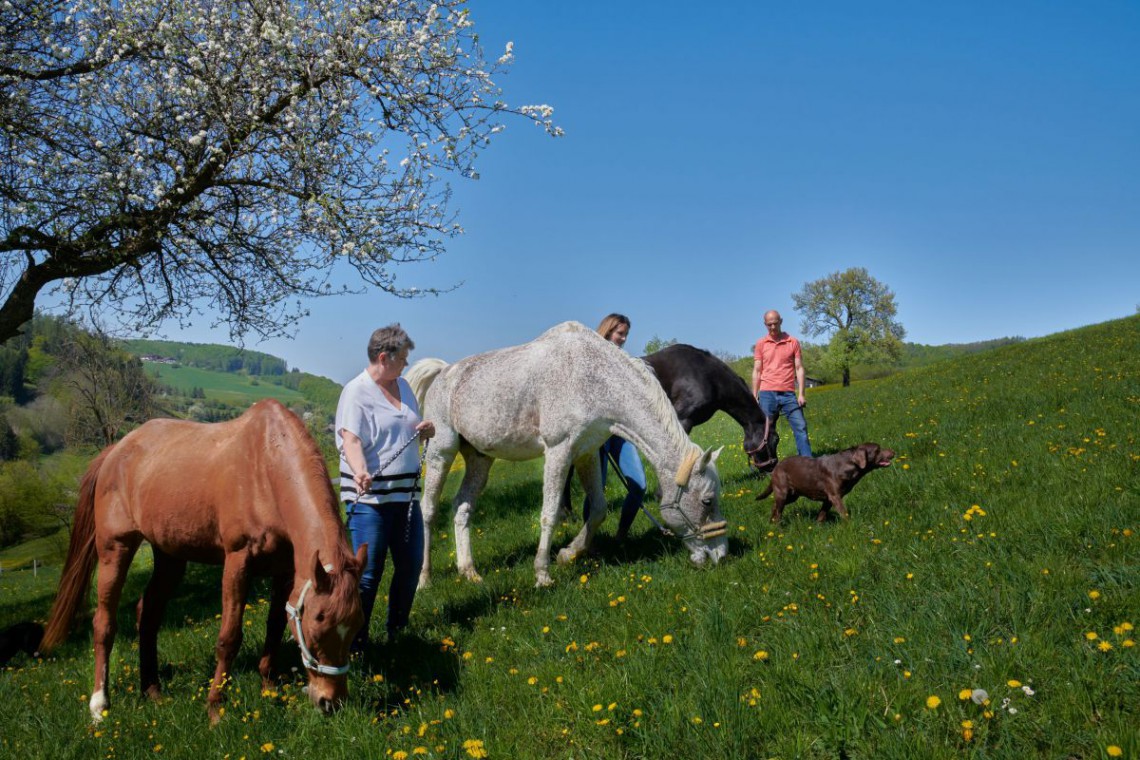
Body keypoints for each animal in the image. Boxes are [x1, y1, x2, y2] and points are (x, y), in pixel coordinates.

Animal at [40, 401, 364, 724]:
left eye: (354, 627)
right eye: (315, 629)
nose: (330, 702)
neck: (265, 467)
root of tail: (115, 451)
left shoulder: (286, 572)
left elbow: (274, 626)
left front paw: (268, 687)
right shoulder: (237, 562)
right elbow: (229, 637)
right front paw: (215, 707)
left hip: (170, 555)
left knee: (148, 613)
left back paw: (152, 689)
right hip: (114, 547)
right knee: (104, 623)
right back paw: (99, 704)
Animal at [405, 321, 725, 587]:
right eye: (707, 501)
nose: (721, 555)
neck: (591, 379)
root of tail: (443, 373)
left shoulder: (587, 453)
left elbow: (598, 509)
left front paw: (568, 554)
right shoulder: (558, 451)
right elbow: (550, 514)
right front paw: (542, 574)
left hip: (479, 459)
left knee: (462, 507)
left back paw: (469, 571)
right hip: (440, 453)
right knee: (428, 511)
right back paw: (423, 579)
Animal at [761, 442, 893, 526]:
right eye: (877, 450)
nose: (893, 451)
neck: (848, 466)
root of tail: (776, 467)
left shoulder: (828, 499)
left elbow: (822, 515)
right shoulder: (835, 497)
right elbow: (844, 514)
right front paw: (850, 526)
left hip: (793, 495)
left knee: (775, 507)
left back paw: (770, 523)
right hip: (782, 492)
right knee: (778, 511)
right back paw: (778, 528)